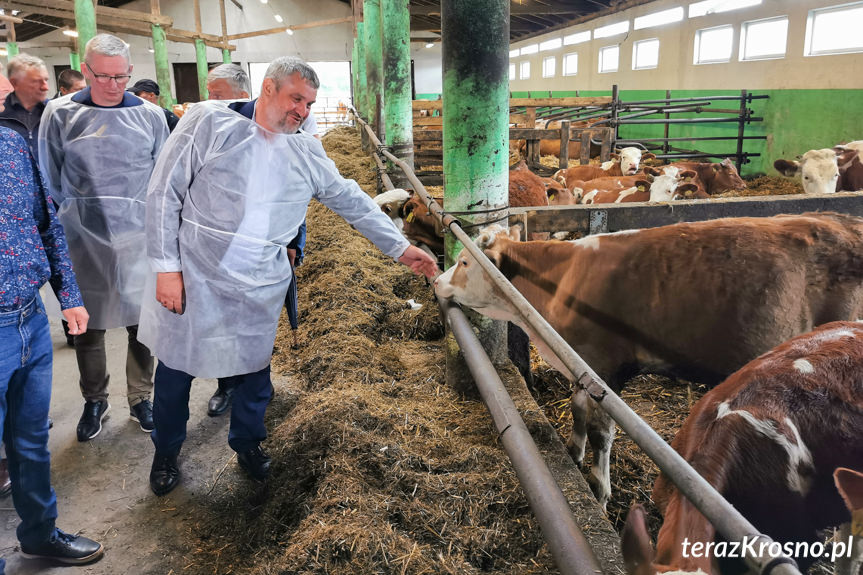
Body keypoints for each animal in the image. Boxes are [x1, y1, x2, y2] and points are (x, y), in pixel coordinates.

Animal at [432, 214, 863, 510]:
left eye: (466, 262)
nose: (436, 280)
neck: (560, 282)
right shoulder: (580, 364)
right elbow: (577, 410)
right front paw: (573, 453)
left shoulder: (604, 370)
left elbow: (602, 432)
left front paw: (600, 491)